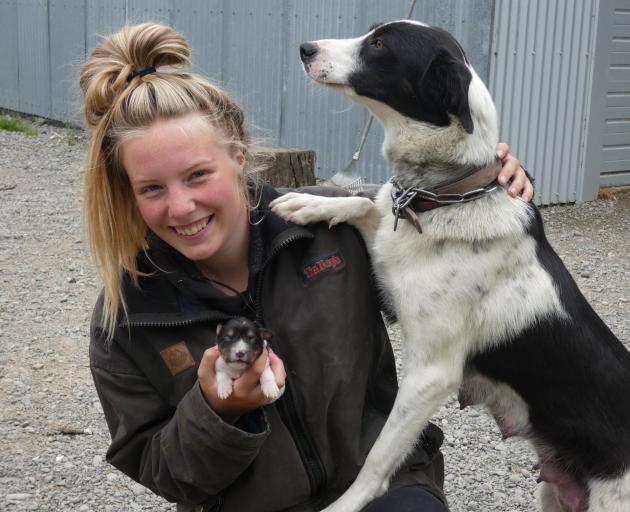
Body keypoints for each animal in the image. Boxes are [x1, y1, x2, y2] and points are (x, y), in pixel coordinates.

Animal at [270, 20, 630, 512]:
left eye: (379, 44)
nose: (305, 48)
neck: (448, 194)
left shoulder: (430, 375)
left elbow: (378, 458)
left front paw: (344, 504)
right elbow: (364, 204)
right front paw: (306, 203)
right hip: (553, 494)